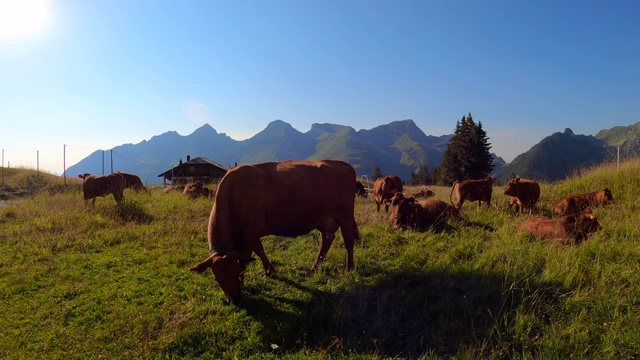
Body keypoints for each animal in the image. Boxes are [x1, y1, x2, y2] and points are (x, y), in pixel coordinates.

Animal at [189, 160, 360, 304]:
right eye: (217, 279)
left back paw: (349, 268)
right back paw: (314, 267)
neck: (233, 196)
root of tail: (340, 163)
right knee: (326, 240)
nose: (234, 299)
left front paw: (245, 282)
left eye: (235, 274)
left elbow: (246, 259)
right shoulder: (249, 235)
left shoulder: (249, 233)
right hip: (325, 220)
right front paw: (269, 270)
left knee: (348, 241)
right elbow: (259, 250)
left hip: (345, 216)